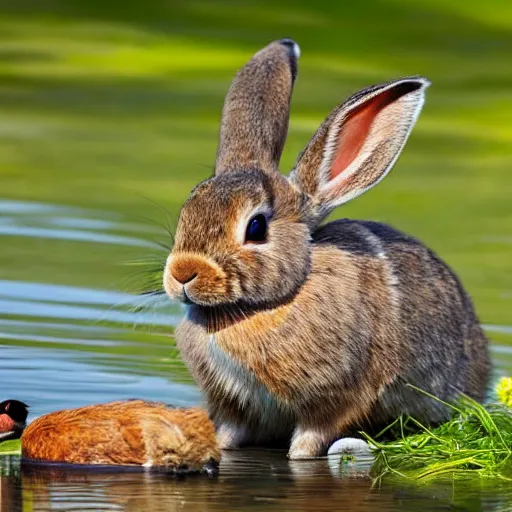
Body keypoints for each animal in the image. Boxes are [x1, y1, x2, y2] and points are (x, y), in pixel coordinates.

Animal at [164, 38, 492, 458]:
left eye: (256, 227)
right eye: (187, 209)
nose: (183, 272)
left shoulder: (338, 399)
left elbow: (310, 440)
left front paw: (299, 456)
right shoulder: (235, 406)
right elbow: (229, 434)